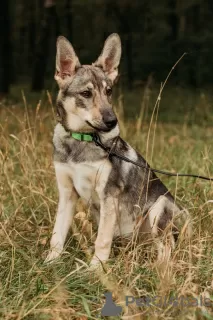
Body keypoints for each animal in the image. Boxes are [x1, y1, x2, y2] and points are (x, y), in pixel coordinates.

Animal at [45, 33, 188, 266]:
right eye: (86, 93)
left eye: (109, 91)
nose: (112, 121)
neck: (83, 139)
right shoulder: (67, 193)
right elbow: (57, 234)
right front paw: (49, 262)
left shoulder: (108, 195)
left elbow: (102, 240)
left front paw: (96, 269)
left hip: (159, 207)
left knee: (167, 248)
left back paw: (156, 268)